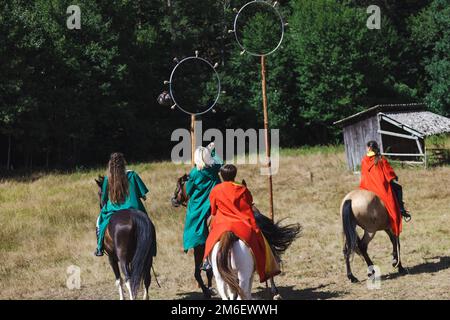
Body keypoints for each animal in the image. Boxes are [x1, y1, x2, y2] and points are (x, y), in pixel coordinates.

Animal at [172, 174, 302, 298]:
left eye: (178, 186)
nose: (173, 200)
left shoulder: (200, 248)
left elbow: (199, 273)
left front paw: (208, 291)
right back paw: (274, 291)